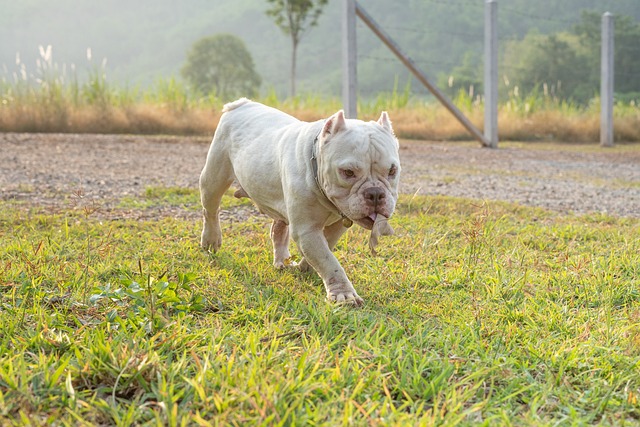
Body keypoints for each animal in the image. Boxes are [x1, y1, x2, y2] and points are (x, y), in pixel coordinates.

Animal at [200, 98, 400, 306]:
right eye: (348, 172)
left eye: (392, 171)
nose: (375, 193)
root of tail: (241, 104)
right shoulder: (307, 230)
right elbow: (328, 259)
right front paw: (344, 295)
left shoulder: (336, 225)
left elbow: (325, 249)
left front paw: (306, 267)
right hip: (214, 176)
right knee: (210, 209)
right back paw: (211, 240)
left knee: (278, 229)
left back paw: (282, 261)